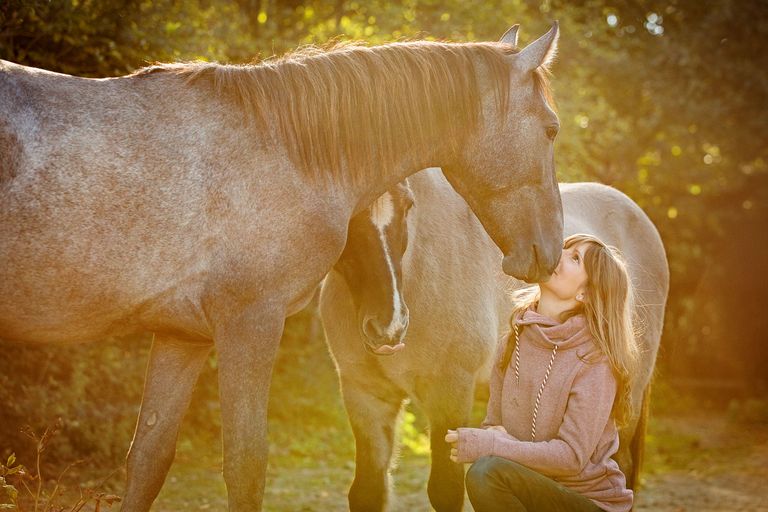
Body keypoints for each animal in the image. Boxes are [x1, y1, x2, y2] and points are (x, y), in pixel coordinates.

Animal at [0, 24, 564, 511]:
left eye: (409, 210)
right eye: (552, 129)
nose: (550, 252)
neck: (285, 149)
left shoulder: (183, 337)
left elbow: (147, 462)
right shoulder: (250, 324)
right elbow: (246, 467)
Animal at [320, 168, 668, 512]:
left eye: (407, 206)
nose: (389, 325)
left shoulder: (450, 392)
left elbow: (446, 490)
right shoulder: (365, 395)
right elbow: (368, 490)